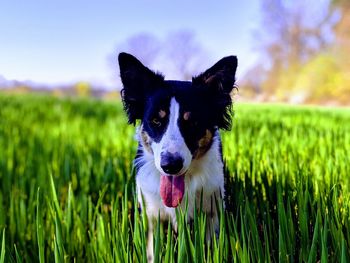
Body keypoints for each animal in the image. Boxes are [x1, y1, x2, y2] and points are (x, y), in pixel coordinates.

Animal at [118, 52, 238, 262]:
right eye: (156, 121)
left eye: (193, 122)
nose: (170, 165)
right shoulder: (150, 216)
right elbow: (152, 252)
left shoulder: (213, 212)